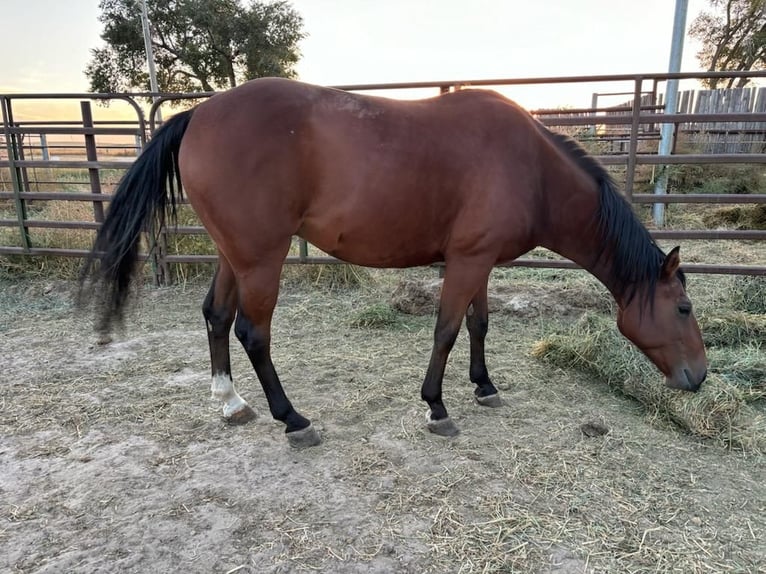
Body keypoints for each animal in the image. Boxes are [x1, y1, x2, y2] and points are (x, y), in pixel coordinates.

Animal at [79, 77, 707, 447]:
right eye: (683, 308)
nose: (698, 378)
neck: (532, 167)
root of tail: (198, 116)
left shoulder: (479, 260)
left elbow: (478, 324)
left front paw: (484, 386)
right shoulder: (467, 261)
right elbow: (446, 330)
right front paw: (437, 406)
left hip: (236, 253)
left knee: (215, 315)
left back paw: (231, 404)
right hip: (262, 259)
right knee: (252, 332)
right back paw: (293, 420)